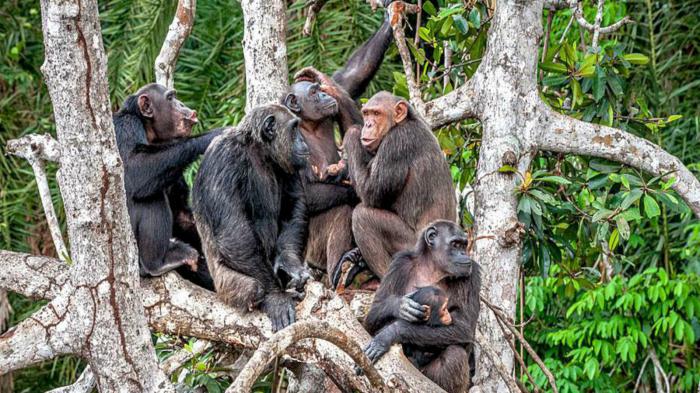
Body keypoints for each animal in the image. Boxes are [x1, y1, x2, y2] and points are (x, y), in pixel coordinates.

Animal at [113, 82, 221, 286]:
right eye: (170, 98)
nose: (181, 103)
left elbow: (181, 213)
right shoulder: (124, 127)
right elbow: (134, 168)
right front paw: (213, 136)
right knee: (149, 198)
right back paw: (157, 263)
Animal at [191, 104, 312, 330]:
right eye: (294, 128)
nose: (303, 140)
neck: (259, 151)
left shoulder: (287, 162)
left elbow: (294, 205)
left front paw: (289, 264)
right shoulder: (223, 160)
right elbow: (233, 232)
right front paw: (276, 297)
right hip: (224, 285)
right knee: (252, 287)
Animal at [282, 10, 396, 280]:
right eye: (313, 93)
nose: (324, 94)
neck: (308, 124)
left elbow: (349, 79)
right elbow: (304, 190)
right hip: (310, 251)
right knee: (339, 209)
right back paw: (340, 265)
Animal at [330, 92, 456, 288]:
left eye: (376, 114)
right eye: (366, 113)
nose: (368, 124)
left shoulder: (396, 143)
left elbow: (371, 192)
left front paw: (353, 132)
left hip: (414, 249)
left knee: (363, 217)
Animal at [360, 220, 482, 392]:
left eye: (464, 245)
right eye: (455, 244)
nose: (464, 254)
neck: (433, 268)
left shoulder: (472, 275)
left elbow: (463, 327)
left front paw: (391, 333)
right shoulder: (399, 263)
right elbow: (371, 317)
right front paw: (400, 305)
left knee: (454, 355)